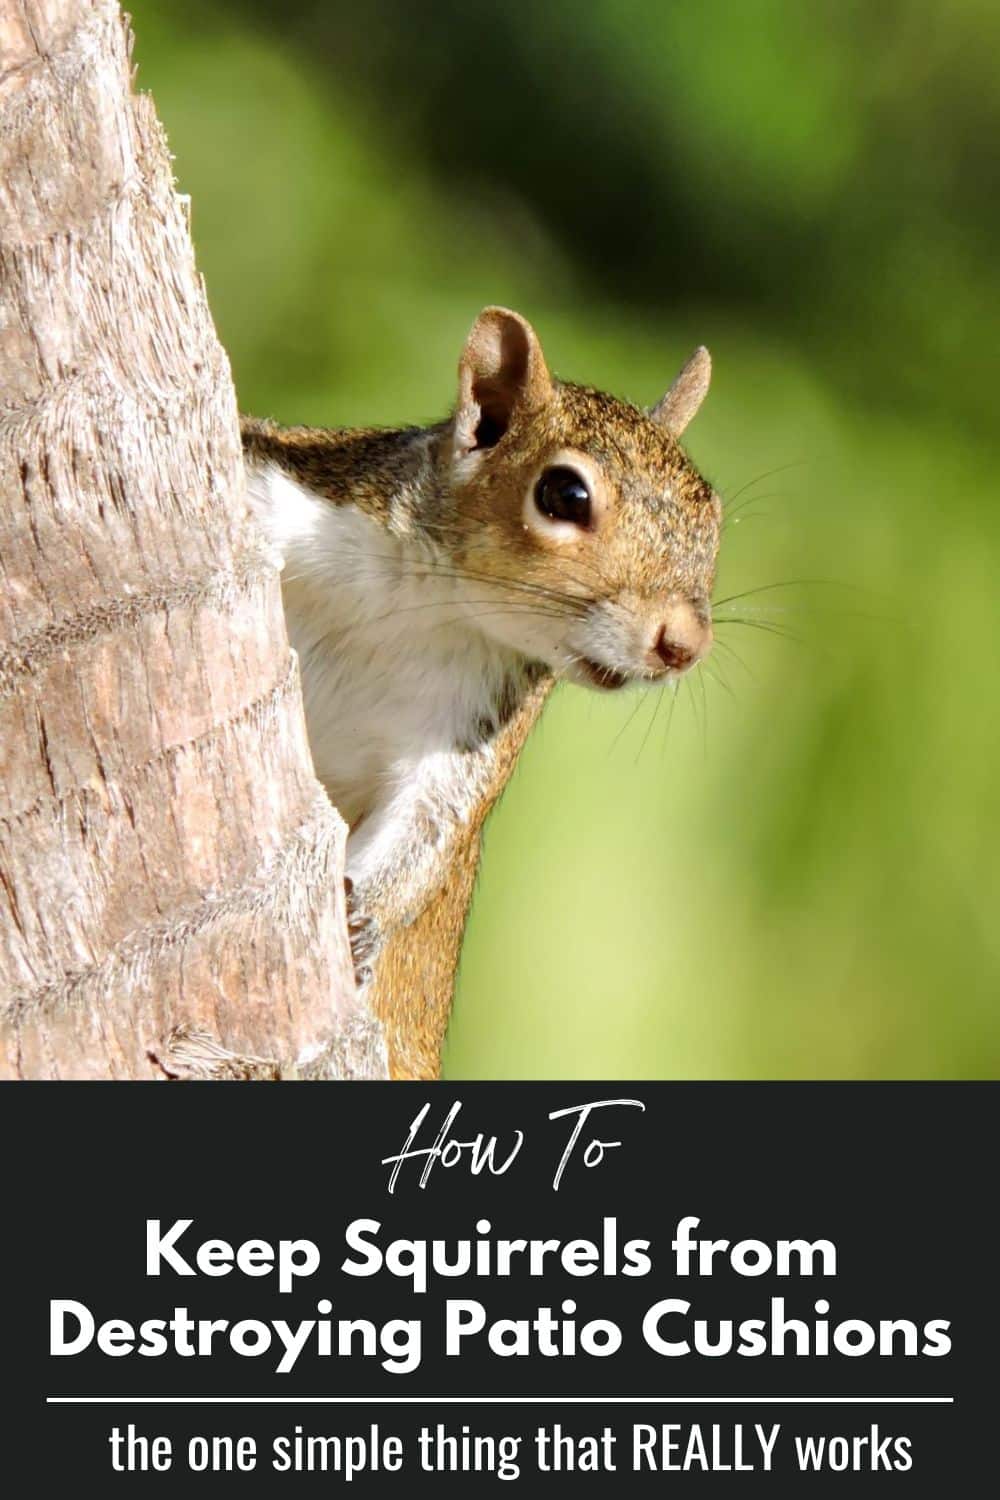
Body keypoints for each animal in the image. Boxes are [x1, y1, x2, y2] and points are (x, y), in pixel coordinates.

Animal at [242, 307, 720, 1080]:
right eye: (564, 495)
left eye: (715, 517)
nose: (683, 644)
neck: (420, 601)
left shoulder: (477, 727)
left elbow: (432, 824)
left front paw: (362, 919)